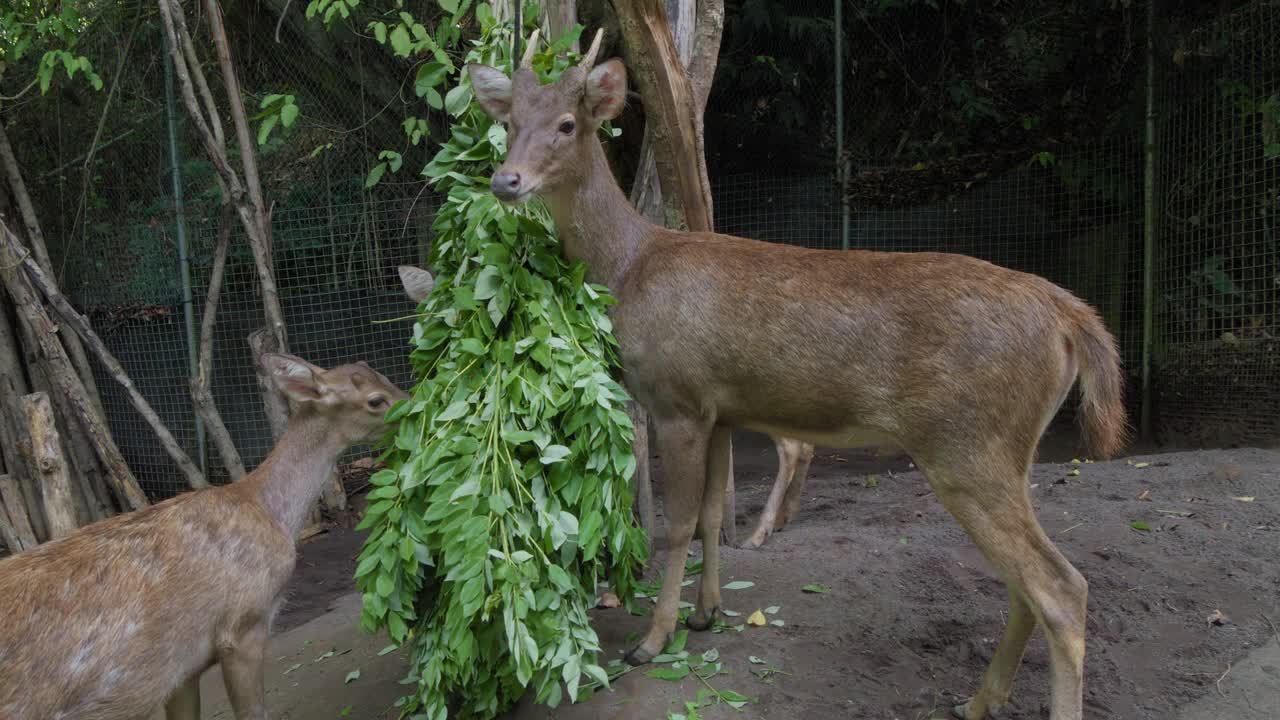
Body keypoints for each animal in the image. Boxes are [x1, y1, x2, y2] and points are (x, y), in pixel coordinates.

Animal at [0, 353, 407, 717]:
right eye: (375, 400)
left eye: (384, 375)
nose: (412, 402)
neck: (269, 512)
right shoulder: (243, 624)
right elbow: (253, 712)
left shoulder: (182, 669)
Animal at [468, 30, 1121, 712]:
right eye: (510, 122)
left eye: (568, 124)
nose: (506, 179)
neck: (629, 268)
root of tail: (1069, 316)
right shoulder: (720, 410)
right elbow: (710, 514)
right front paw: (707, 612)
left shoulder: (677, 398)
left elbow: (676, 525)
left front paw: (652, 640)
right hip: (1004, 451)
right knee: (1029, 584)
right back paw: (977, 701)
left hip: (968, 448)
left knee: (1061, 587)